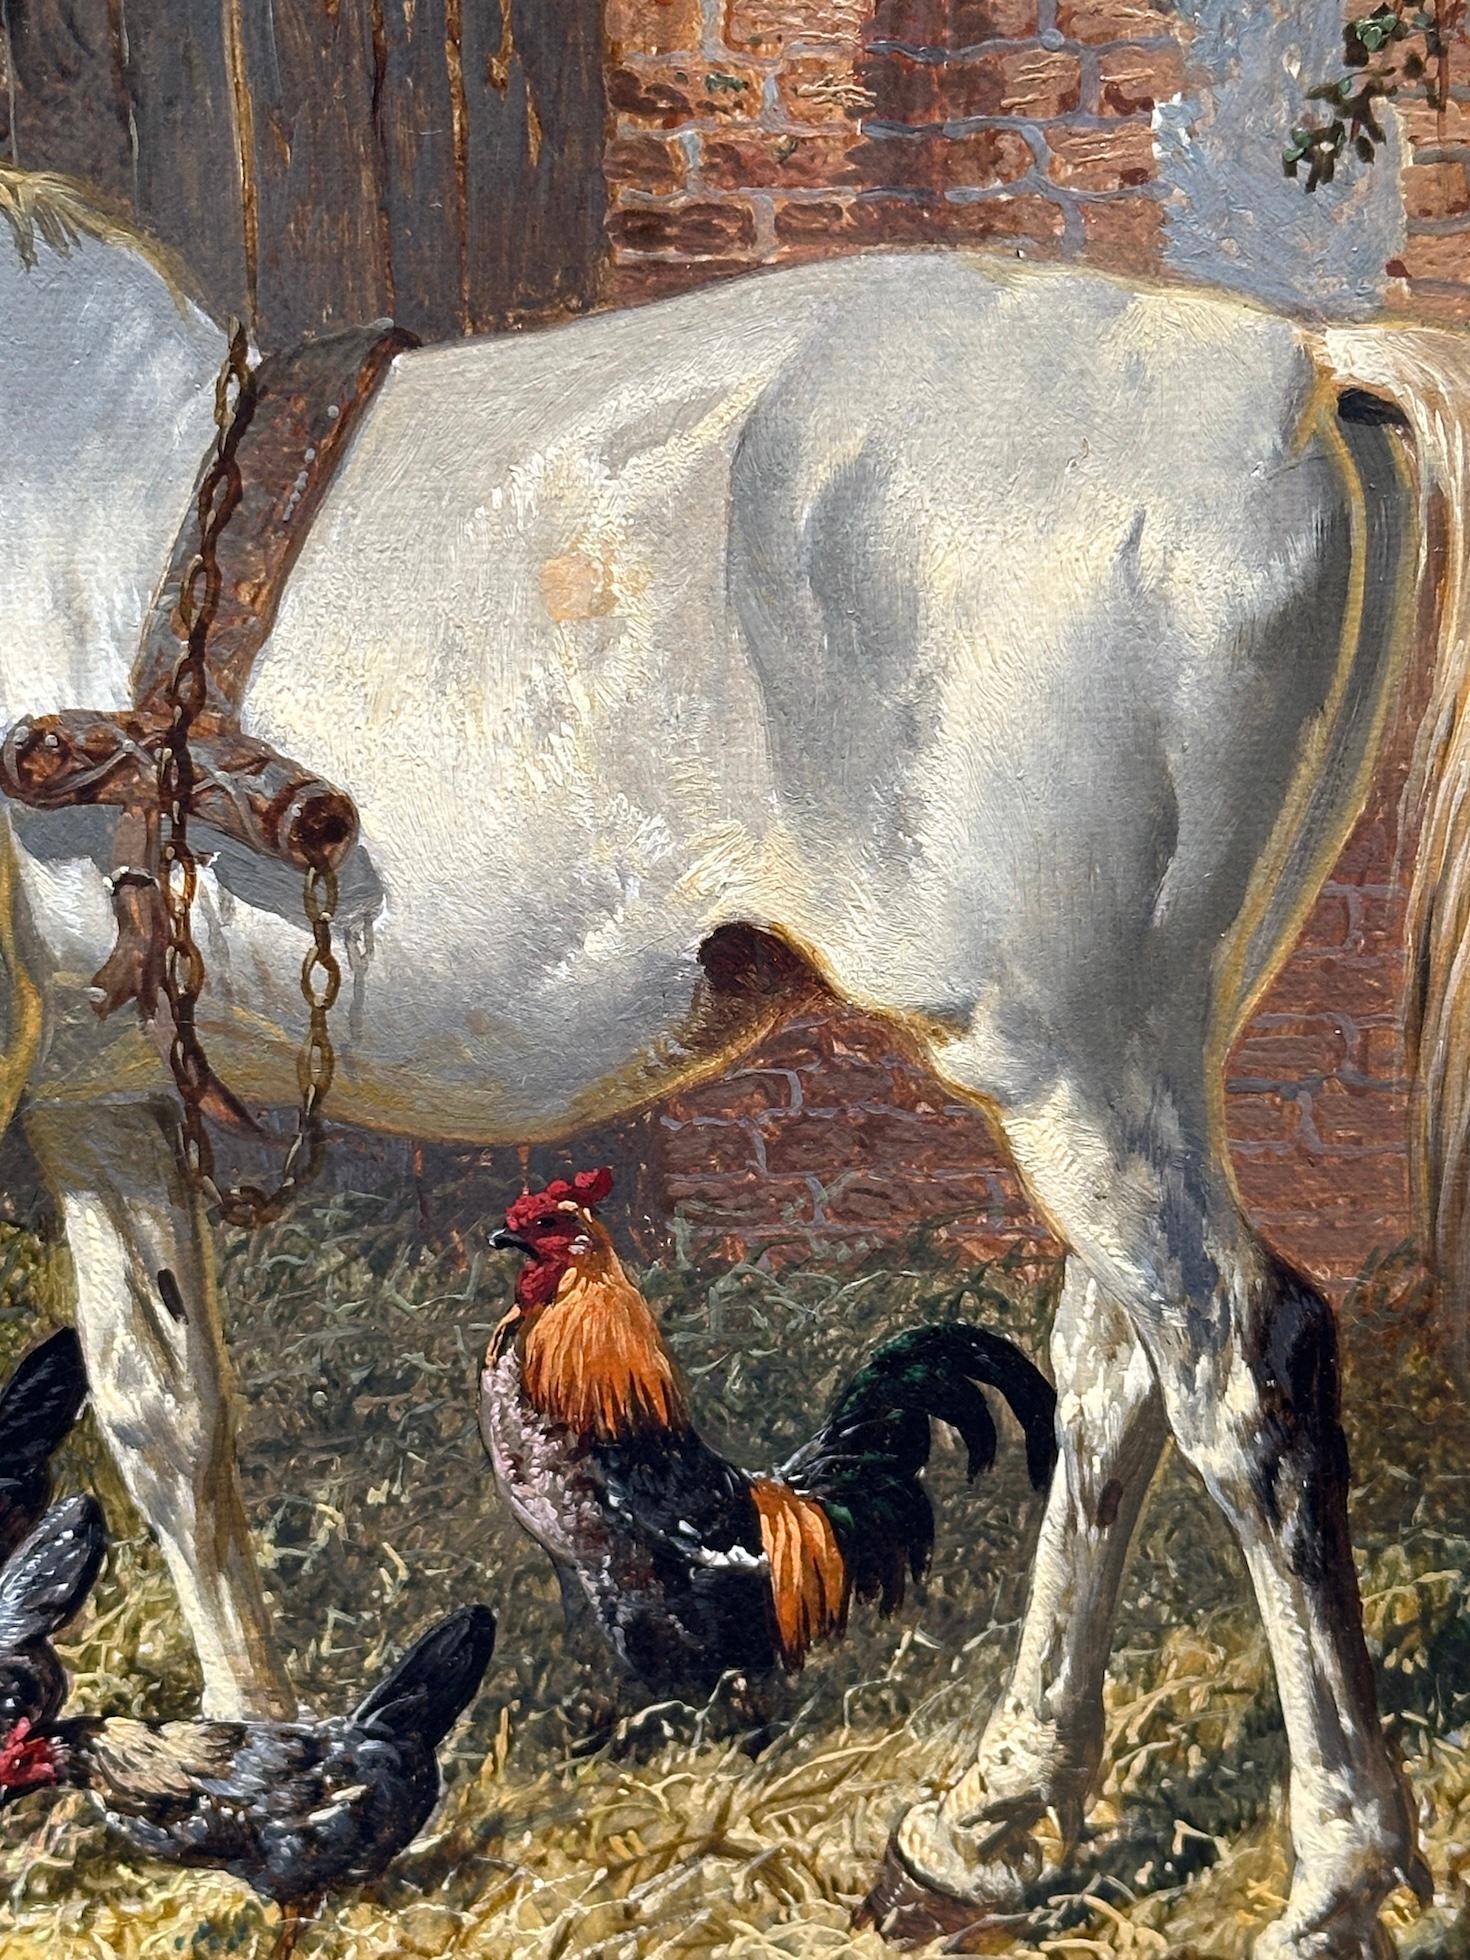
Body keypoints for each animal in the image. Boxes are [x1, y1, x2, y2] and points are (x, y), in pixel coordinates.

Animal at [3, 166, 1469, 1955]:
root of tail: (1303, 367)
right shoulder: (106, 1108)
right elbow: (166, 1421)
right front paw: (255, 1760)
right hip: (1139, 1054)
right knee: (1118, 1373)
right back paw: (994, 1821)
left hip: (1074, 1068)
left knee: (1244, 1382)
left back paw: (1335, 1869)